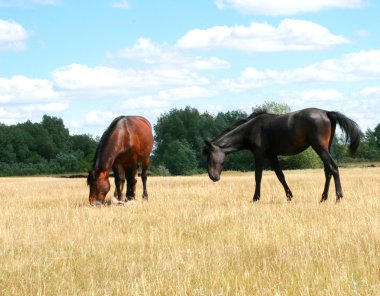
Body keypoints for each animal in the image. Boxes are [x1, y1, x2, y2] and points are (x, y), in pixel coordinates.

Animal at [203, 107, 360, 202]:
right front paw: (289, 196)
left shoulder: (259, 154)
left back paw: (338, 197)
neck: (251, 129)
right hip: (326, 148)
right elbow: (280, 175)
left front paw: (255, 198)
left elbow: (258, 176)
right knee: (327, 172)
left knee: (334, 168)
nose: (213, 177)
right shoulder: (272, 155)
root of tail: (327, 112)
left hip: (320, 147)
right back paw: (323, 198)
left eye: (210, 156)